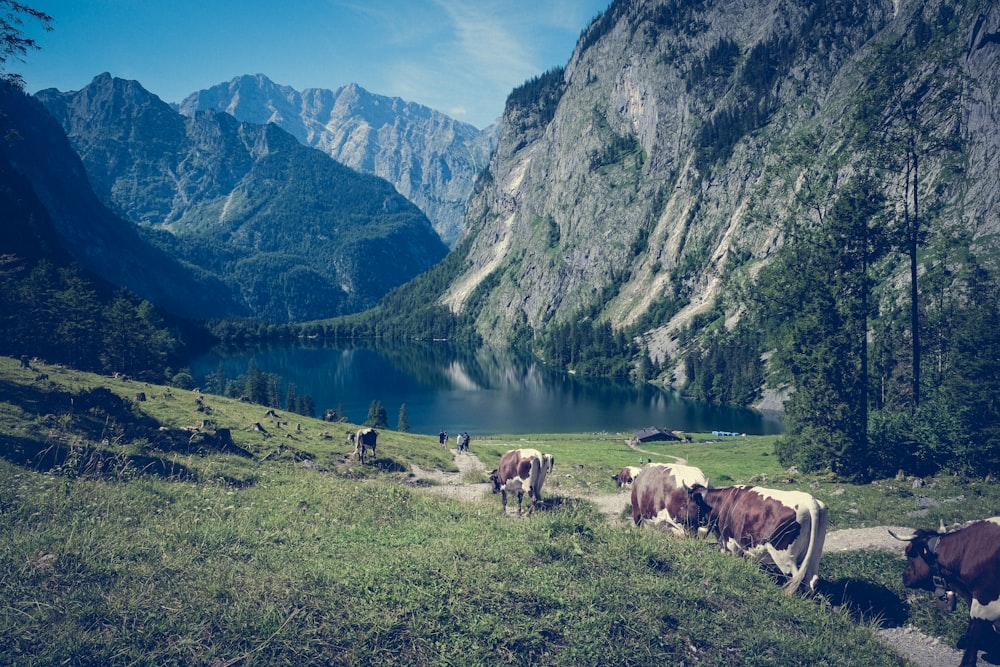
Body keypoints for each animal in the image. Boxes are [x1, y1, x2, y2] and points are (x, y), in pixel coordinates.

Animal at [688, 486, 828, 596]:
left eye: (687, 503)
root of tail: (809, 499)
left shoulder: (731, 541)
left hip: (784, 555)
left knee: (794, 578)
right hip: (815, 553)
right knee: (812, 580)